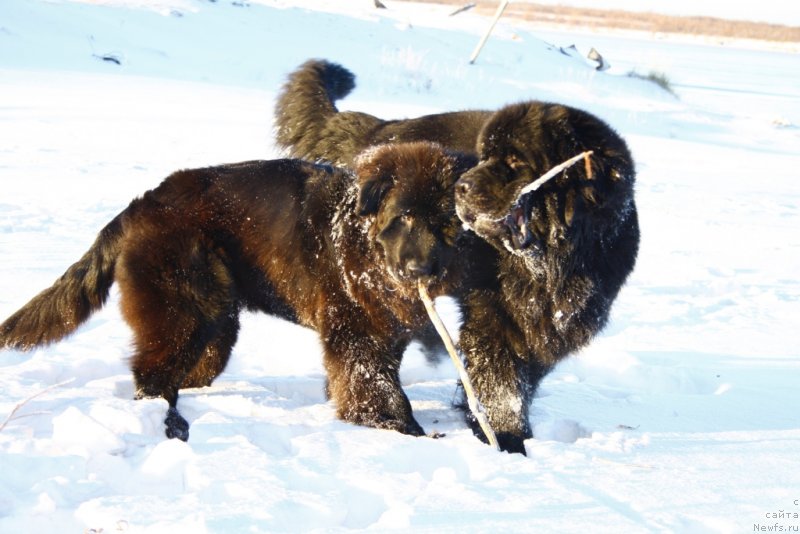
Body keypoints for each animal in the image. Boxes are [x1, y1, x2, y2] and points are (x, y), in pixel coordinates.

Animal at [0, 142, 488, 444]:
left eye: (446, 224)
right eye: (403, 217)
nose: (419, 269)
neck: (365, 244)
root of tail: (141, 205)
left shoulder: (386, 329)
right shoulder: (357, 331)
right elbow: (377, 385)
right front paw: (397, 428)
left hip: (215, 319)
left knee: (186, 371)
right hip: (184, 308)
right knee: (151, 374)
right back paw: (170, 423)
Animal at [454, 102, 640, 454]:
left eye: (515, 161)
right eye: (484, 157)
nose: (460, 186)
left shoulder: (554, 327)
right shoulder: (494, 317)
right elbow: (500, 381)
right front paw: (505, 436)